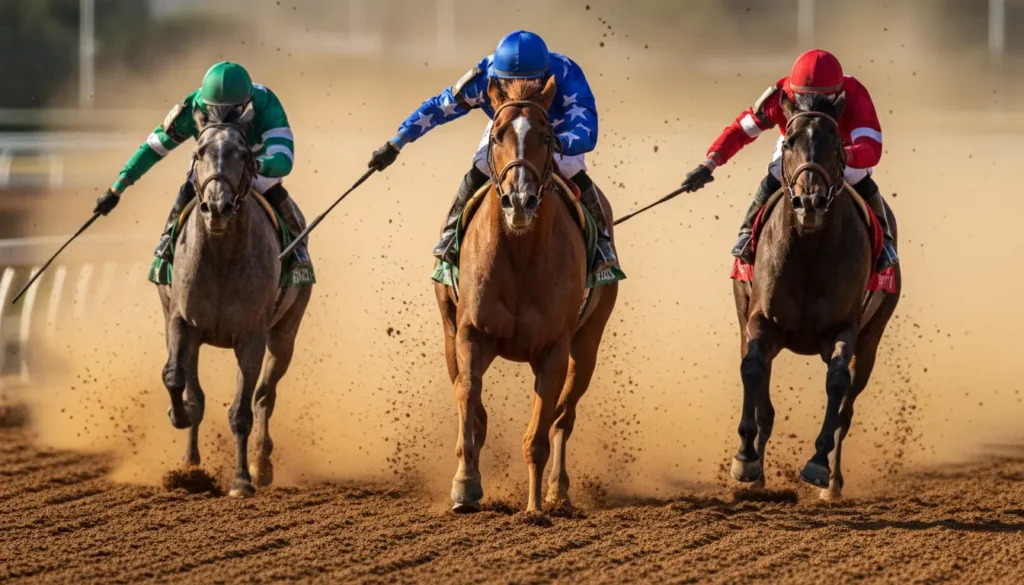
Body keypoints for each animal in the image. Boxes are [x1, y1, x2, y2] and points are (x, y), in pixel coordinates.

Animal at [158, 103, 312, 497]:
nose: (217, 208)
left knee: (264, 397)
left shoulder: (250, 336)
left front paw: (242, 479)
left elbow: (242, 410)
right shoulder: (181, 322)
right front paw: (178, 418)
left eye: (242, 154)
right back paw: (190, 464)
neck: (221, 255)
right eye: (199, 152)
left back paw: (261, 462)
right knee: (196, 391)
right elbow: (176, 380)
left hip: (286, 333)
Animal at [434, 75, 618, 513]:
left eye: (547, 135)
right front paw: (465, 483)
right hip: (449, 331)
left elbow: (538, 434)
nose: (520, 200)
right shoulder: (469, 333)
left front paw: (534, 508)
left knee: (564, 418)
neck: (518, 254)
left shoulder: (553, 350)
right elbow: (468, 395)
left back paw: (557, 491)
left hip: (587, 345)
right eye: (497, 135)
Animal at [731, 90, 902, 501]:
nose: (810, 202)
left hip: (872, 338)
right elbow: (752, 370)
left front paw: (818, 464)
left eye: (836, 144)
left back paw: (834, 484)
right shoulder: (760, 320)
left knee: (846, 409)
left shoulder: (845, 329)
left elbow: (837, 384)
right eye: (790, 142)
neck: (809, 247)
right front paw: (746, 460)